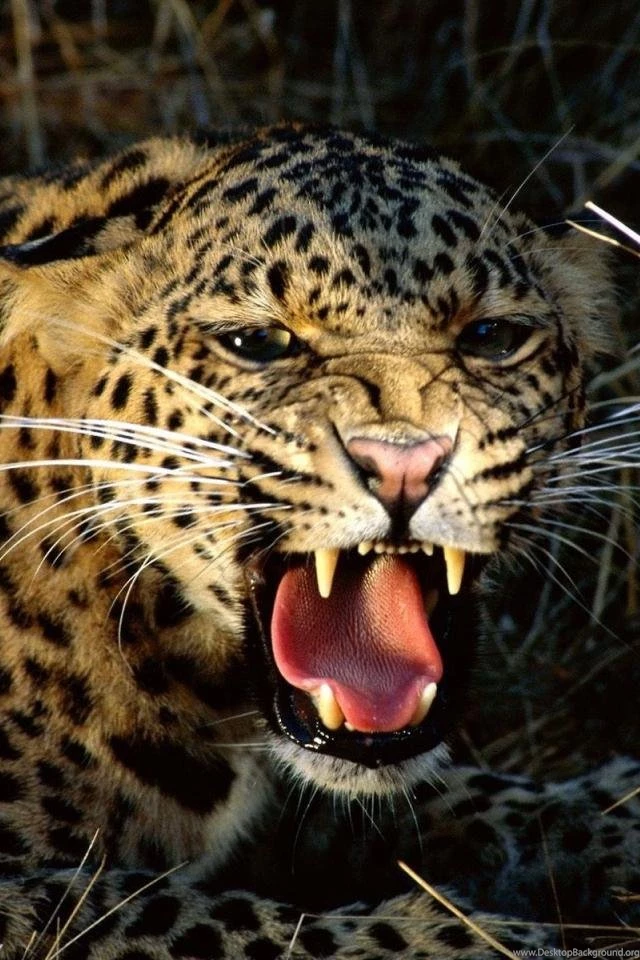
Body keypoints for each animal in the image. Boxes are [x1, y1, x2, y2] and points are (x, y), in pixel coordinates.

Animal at [0, 123, 637, 959]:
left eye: (493, 337)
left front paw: (617, 811)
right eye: (258, 342)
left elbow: (468, 793)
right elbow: (196, 917)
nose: (405, 464)